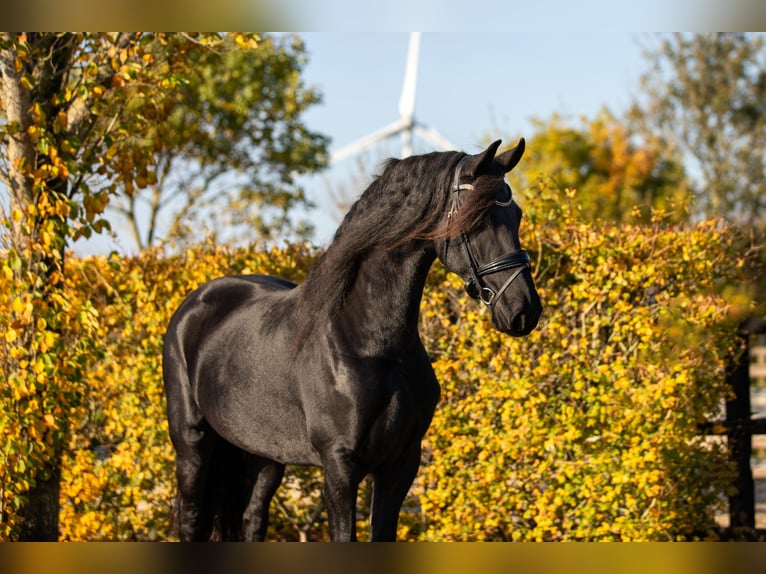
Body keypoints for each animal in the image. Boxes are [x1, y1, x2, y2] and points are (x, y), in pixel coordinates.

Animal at [165, 140, 544, 544]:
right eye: (478, 220)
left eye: (516, 215)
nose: (524, 310)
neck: (371, 344)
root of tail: (193, 305)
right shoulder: (340, 465)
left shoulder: (401, 463)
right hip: (192, 446)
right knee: (192, 521)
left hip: (264, 456)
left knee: (252, 519)